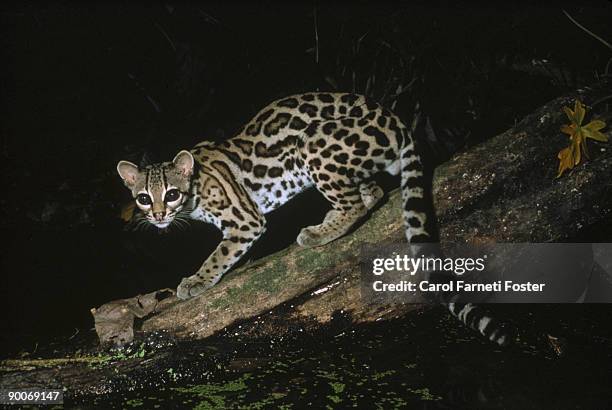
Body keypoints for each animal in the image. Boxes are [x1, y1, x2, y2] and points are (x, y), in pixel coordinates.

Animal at [117, 93, 510, 346]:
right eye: (143, 198)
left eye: (172, 194)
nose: (158, 215)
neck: (195, 187)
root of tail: (394, 118)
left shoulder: (245, 218)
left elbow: (218, 254)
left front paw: (196, 280)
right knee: (372, 194)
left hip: (313, 144)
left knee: (356, 204)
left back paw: (320, 232)